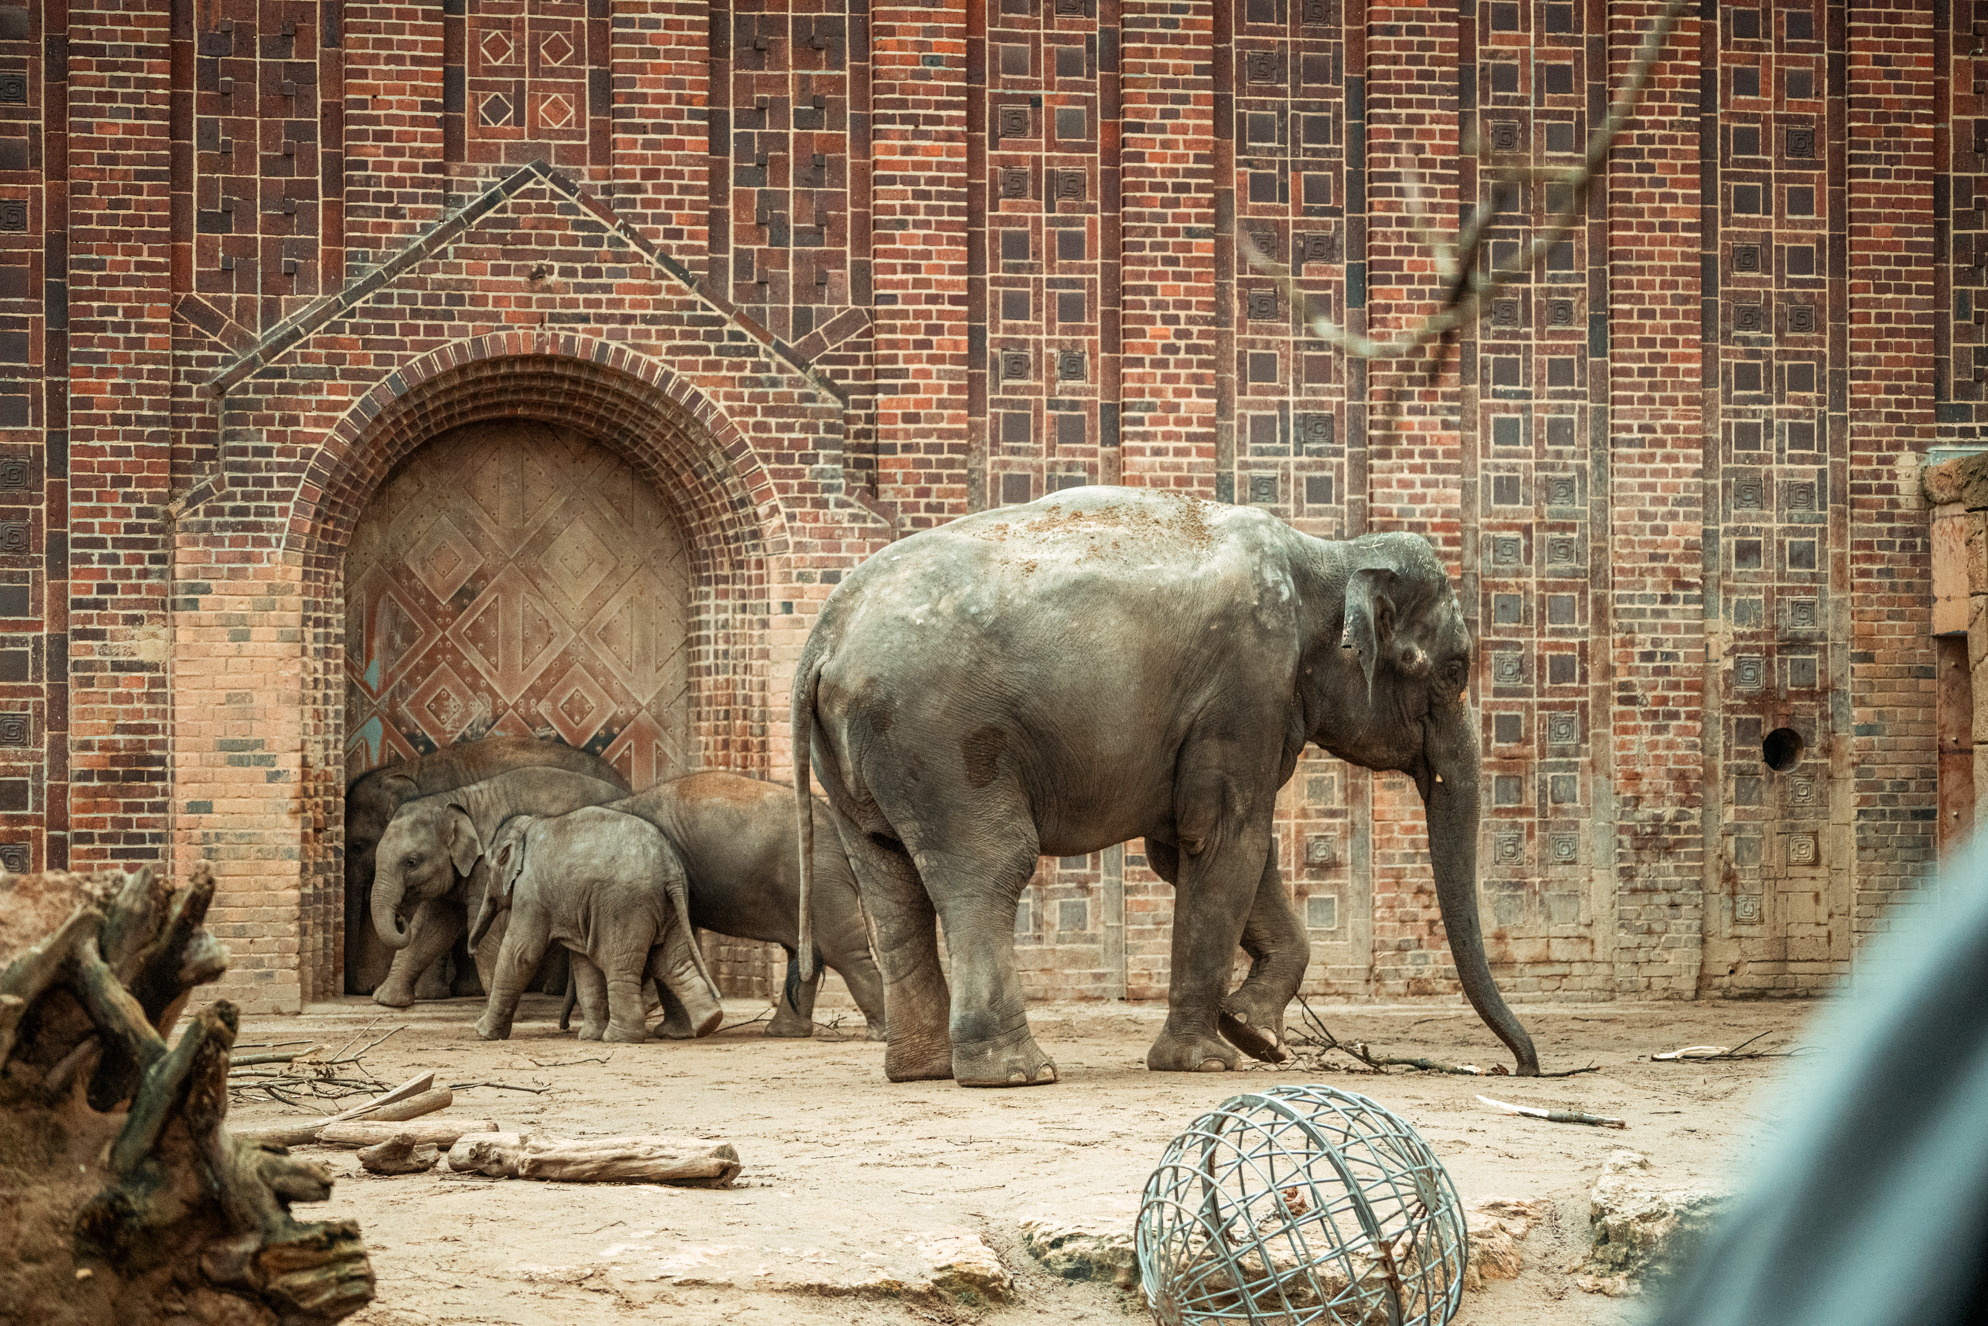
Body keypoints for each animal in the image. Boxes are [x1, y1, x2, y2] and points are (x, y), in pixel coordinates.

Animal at [473, 807, 724, 1044]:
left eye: (486, 867)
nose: (470, 948)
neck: (528, 824)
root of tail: (670, 869)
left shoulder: (531, 890)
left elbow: (520, 954)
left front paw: (482, 1032)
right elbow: (584, 963)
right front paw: (589, 1036)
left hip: (624, 906)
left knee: (619, 963)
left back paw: (619, 1038)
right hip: (670, 908)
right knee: (671, 961)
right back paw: (709, 1022)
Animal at [498, 772, 886, 1040]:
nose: (563, 1027)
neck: (621, 806)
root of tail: (835, 824)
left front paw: (669, 1034)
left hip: (821, 880)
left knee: (843, 952)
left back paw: (878, 1034)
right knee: (805, 952)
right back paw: (783, 1034)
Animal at [791, 485, 1540, 1087]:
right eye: (1453, 673)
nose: (1522, 1068)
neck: (1325, 556)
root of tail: (823, 639)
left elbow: (1195, 852)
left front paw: (1253, 1035)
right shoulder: (1247, 684)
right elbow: (1227, 842)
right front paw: (1209, 1060)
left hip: (862, 758)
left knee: (890, 881)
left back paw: (921, 1071)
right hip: (942, 740)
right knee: (989, 867)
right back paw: (1018, 1073)